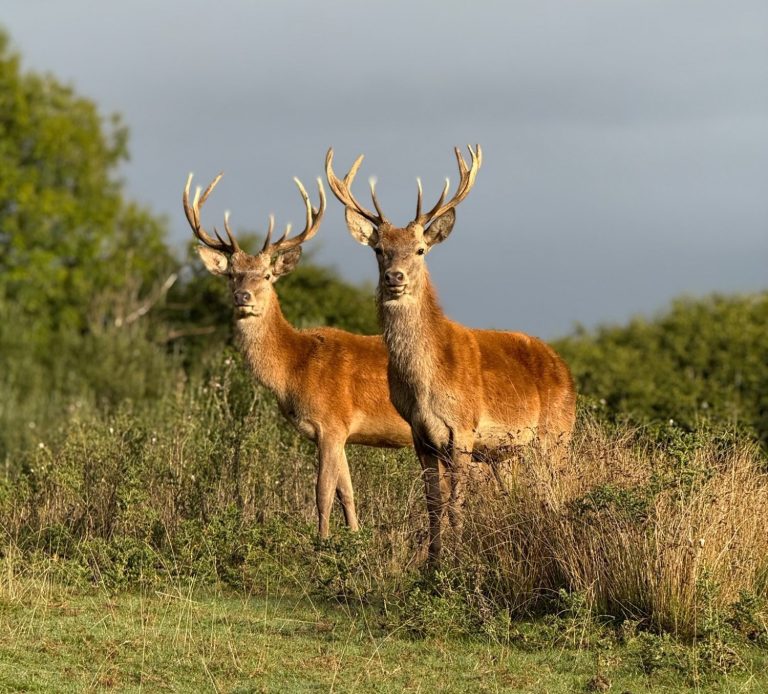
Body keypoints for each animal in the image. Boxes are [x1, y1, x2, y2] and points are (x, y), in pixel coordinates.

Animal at [183, 172, 413, 538]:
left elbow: (323, 492)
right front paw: (354, 538)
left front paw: (322, 541)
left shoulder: (331, 423)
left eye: (266, 275)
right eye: (231, 274)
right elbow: (347, 492)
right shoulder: (339, 432)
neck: (295, 369)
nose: (242, 296)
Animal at [326, 145, 577, 566]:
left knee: (558, 492)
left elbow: (456, 504)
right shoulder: (420, 436)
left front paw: (457, 562)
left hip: (555, 436)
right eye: (379, 250)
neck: (425, 384)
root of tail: (564, 368)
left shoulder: (462, 430)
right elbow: (433, 504)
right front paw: (432, 562)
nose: (395, 277)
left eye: (420, 249)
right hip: (509, 454)